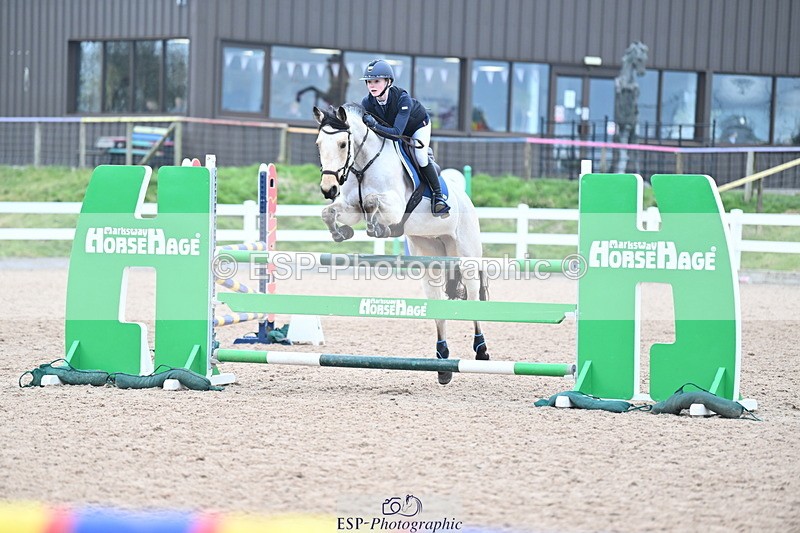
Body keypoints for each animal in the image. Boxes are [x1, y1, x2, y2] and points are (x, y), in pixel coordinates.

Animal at [312, 103, 491, 385]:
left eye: (342, 143)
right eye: (319, 143)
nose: (328, 189)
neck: (363, 166)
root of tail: (466, 199)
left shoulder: (395, 206)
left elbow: (372, 201)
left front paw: (378, 227)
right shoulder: (350, 208)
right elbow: (330, 213)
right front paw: (343, 233)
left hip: (467, 257)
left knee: (473, 298)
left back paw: (481, 350)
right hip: (431, 258)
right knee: (436, 302)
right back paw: (443, 363)